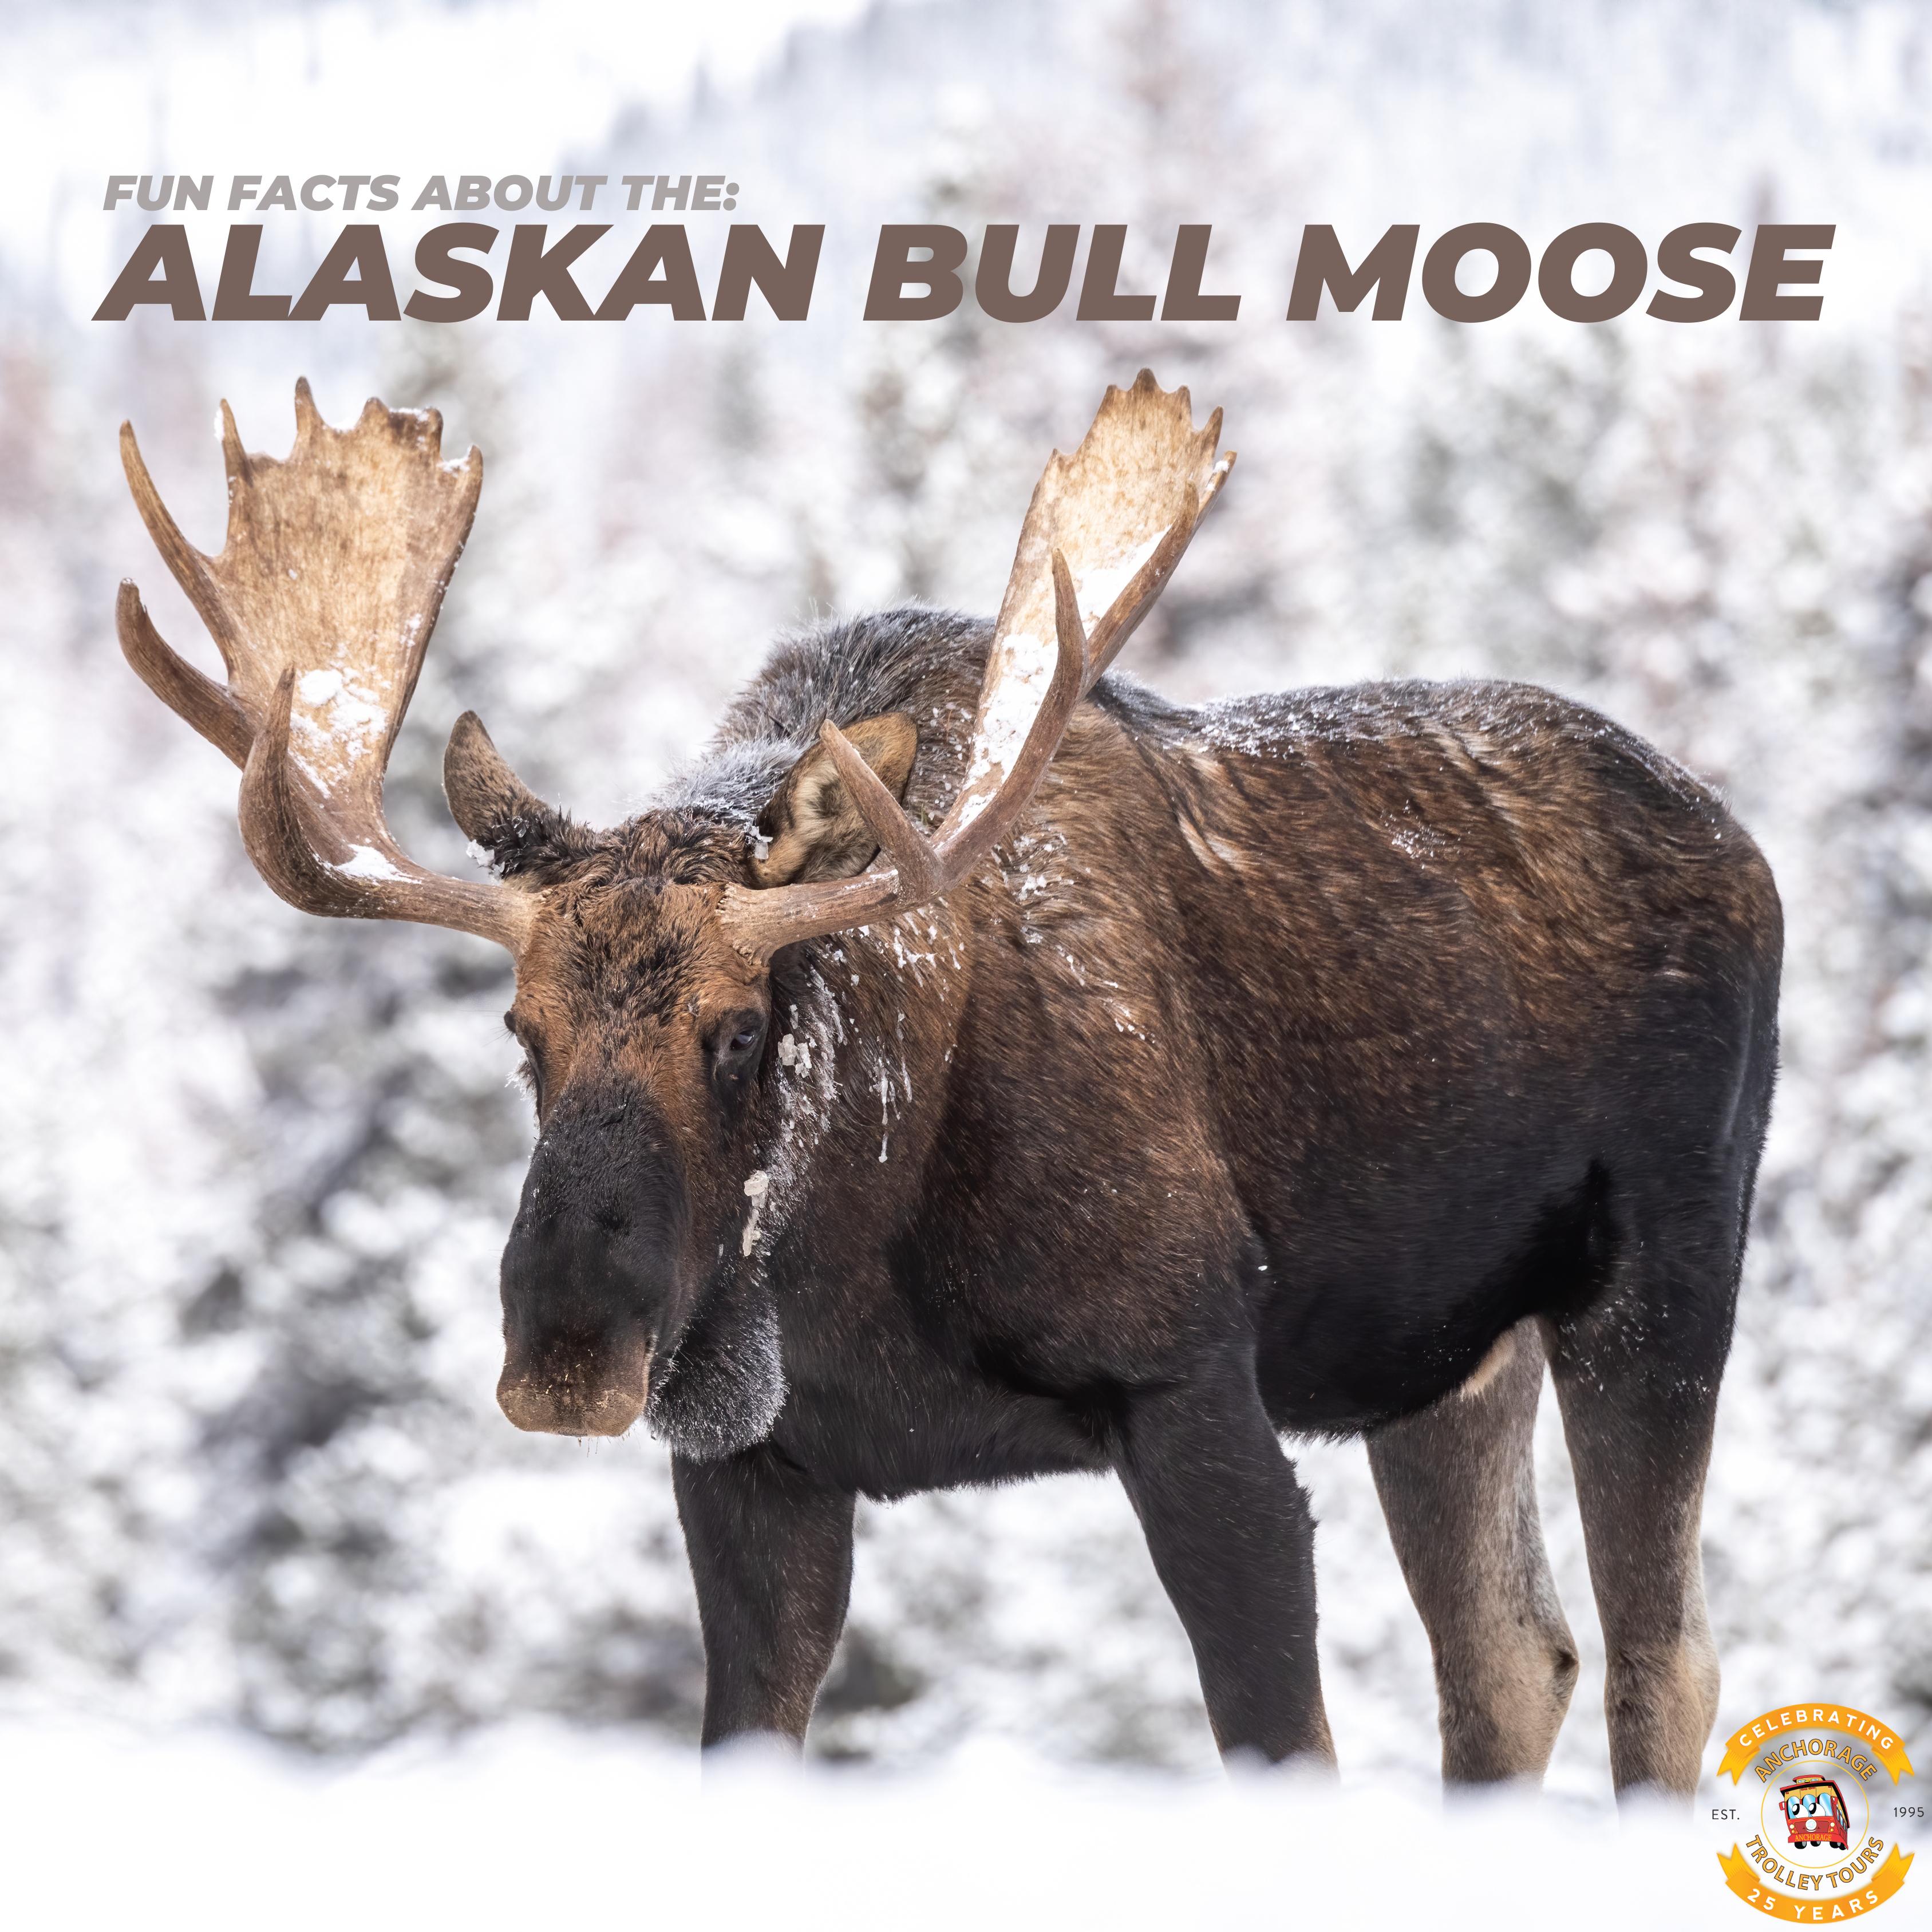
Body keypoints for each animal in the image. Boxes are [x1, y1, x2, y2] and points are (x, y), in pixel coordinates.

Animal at [116, 372, 1782, 1797]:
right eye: (522, 1030)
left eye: (738, 1026)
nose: (568, 1346)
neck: (864, 1245)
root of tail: (1744, 845)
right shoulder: (755, 1467)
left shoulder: (1190, 1383)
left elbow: (1284, 1740)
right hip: (1440, 1365)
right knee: (1510, 1661)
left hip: (1660, 1273)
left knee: (1659, 1661)